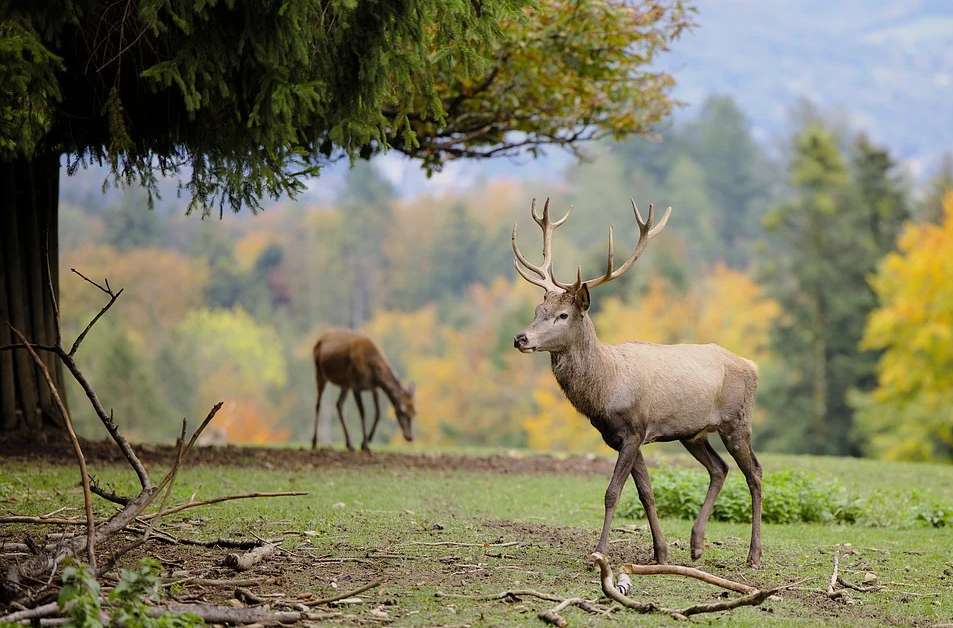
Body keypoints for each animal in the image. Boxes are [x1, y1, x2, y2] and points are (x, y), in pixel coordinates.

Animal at [510, 199, 764, 568]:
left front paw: (599, 551)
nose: (520, 338)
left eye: (563, 315)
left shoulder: (633, 429)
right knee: (719, 468)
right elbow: (646, 493)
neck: (605, 388)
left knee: (754, 472)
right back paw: (696, 544)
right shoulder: (623, 437)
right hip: (692, 432)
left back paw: (754, 554)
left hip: (737, 421)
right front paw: (660, 553)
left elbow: (612, 493)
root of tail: (753, 366)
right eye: (536, 309)